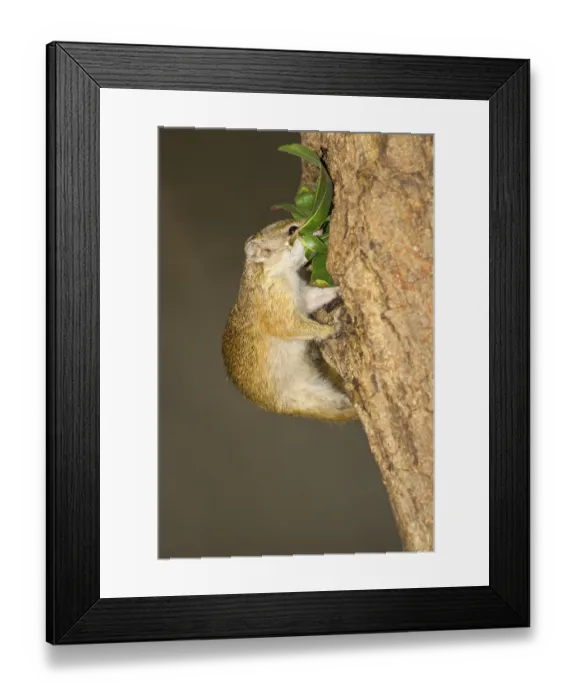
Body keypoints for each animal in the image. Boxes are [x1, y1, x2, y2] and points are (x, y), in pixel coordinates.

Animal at [222, 219, 357, 422]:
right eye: (292, 230)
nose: (322, 225)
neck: (279, 273)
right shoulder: (277, 305)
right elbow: (291, 326)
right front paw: (329, 330)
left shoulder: (302, 295)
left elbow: (316, 297)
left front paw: (338, 288)